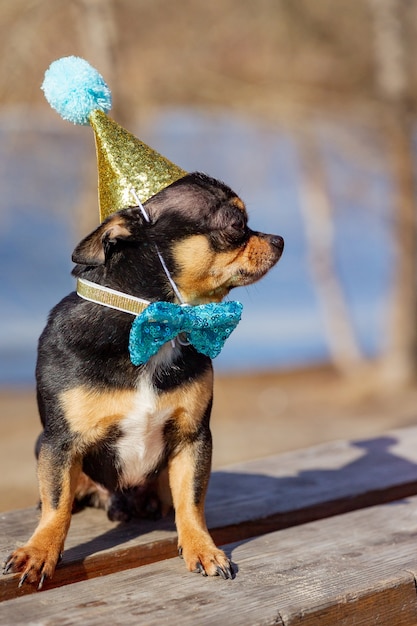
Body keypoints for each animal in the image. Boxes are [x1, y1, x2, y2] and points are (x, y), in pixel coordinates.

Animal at [3, 171, 282, 584]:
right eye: (235, 225)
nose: (280, 239)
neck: (152, 320)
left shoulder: (193, 439)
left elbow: (191, 501)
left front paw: (202, 548)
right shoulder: (60, 444)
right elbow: (57, 504)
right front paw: (40, 551)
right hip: (44, 446)